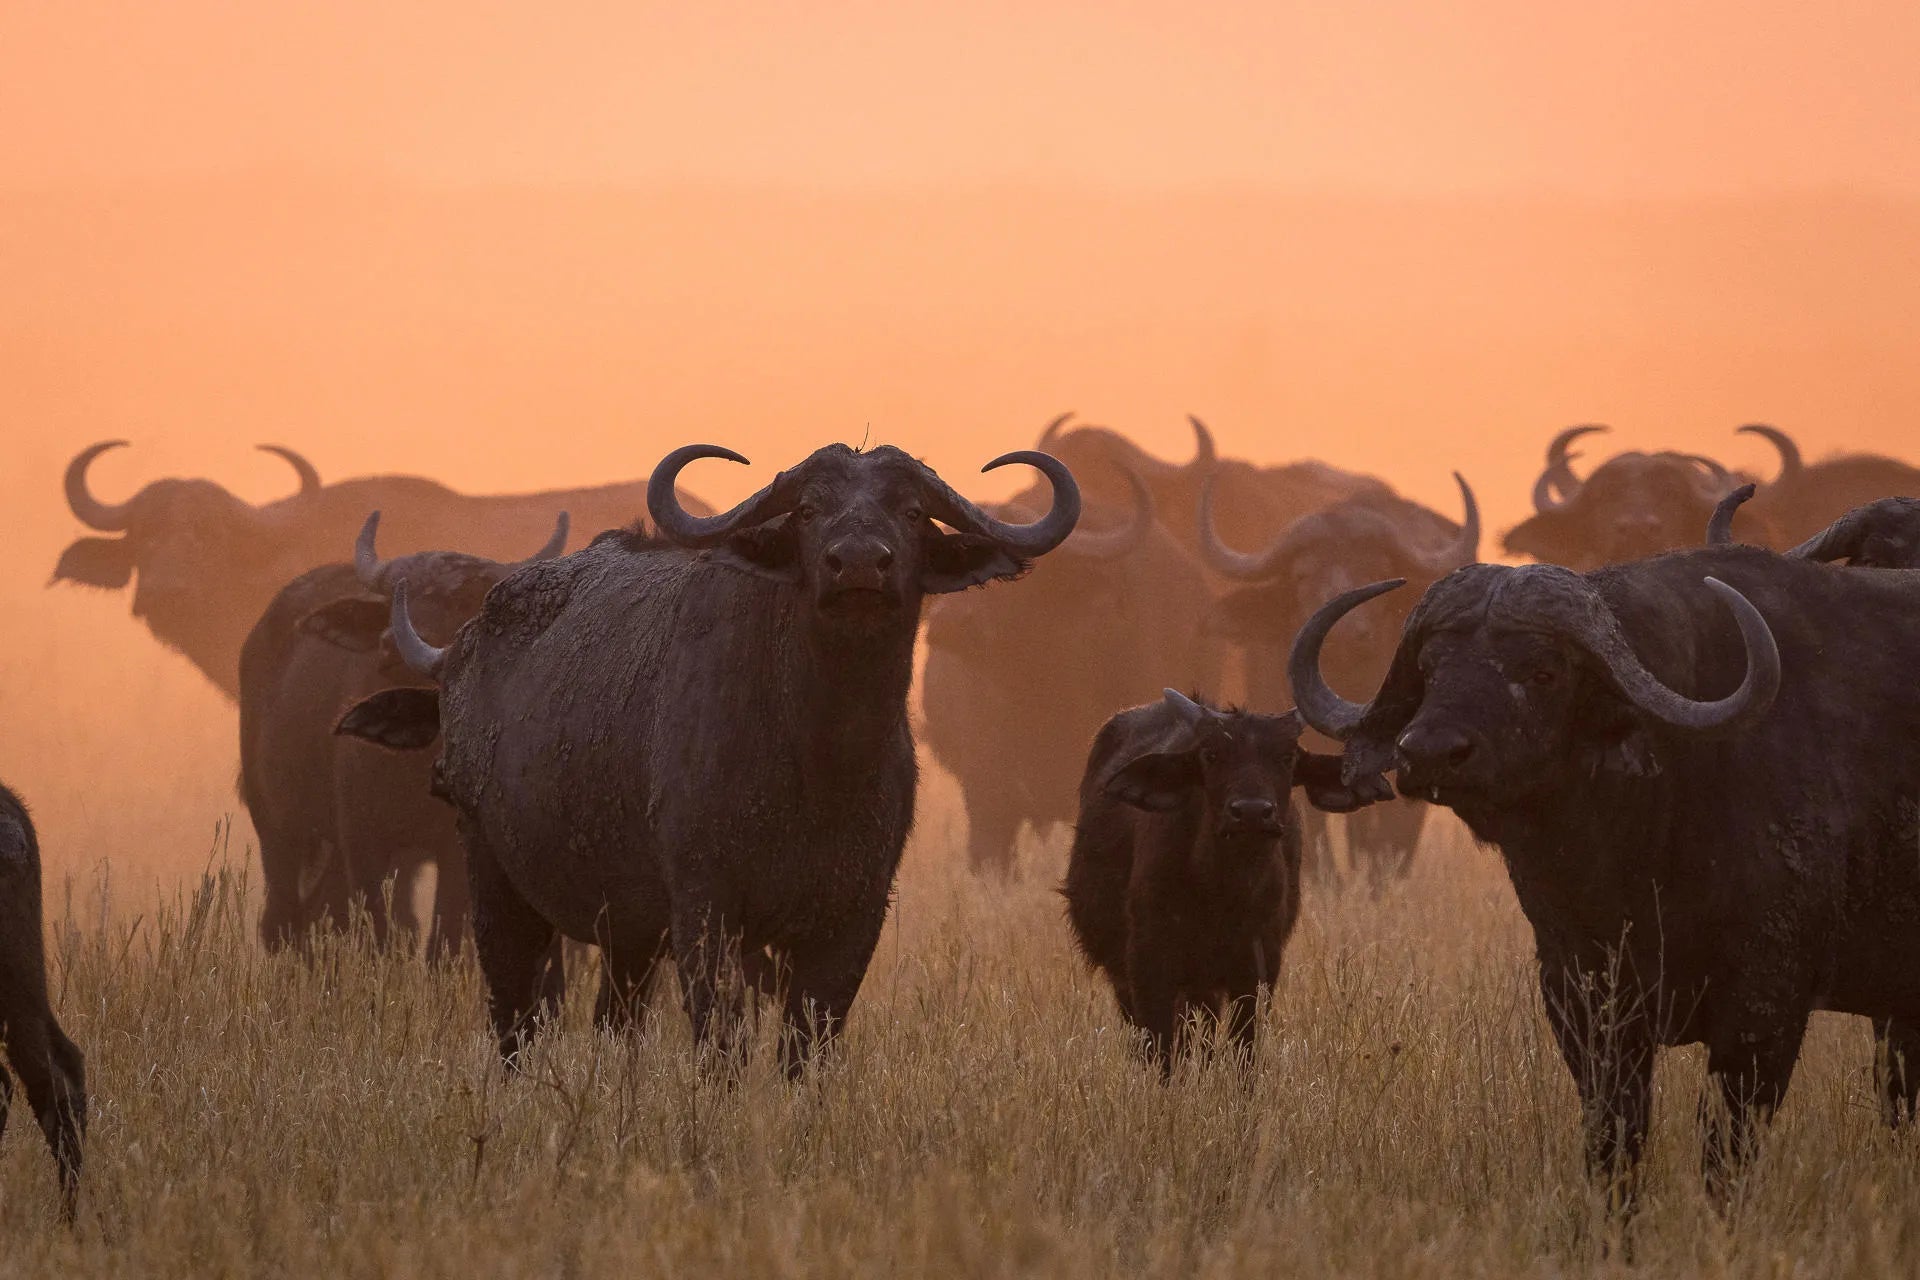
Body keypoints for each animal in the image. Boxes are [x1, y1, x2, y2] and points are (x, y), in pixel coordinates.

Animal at [240, 512, 568, 954]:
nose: (390, 646)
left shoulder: (454, 849)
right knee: (283, 920)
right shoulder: (363, 840)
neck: (411, 765)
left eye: (458, 603)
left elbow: (444, 939)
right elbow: (379, 931)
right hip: (275, 824)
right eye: (398, 600)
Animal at [339, 442, 1080, 1070]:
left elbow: (806, 1049)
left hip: (627, 934)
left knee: (614, 1021)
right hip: (494, 879)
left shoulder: (854, 916)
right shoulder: (707, 910)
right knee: (517, 1017)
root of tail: (462, 648)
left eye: (910, 510)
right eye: (808, 510)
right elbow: (722, 1044)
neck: (819, 759)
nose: (859, 564)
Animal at [1062, 690, 1371, 1072]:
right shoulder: (1147, 960)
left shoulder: (1258, 966)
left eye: (1287, 757)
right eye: (1211, 755)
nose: (1251, 813)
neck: (1222, 893)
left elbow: (1243, 1050)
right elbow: (1159, 1049)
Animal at [1290, 550, 1920, 1194]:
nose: (1429, 751)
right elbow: (1614, 1140)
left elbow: (1725, 1152)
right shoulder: (1584, 1002)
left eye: (1543, 671)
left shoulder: (1764, 1009)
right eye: (1430, 667)